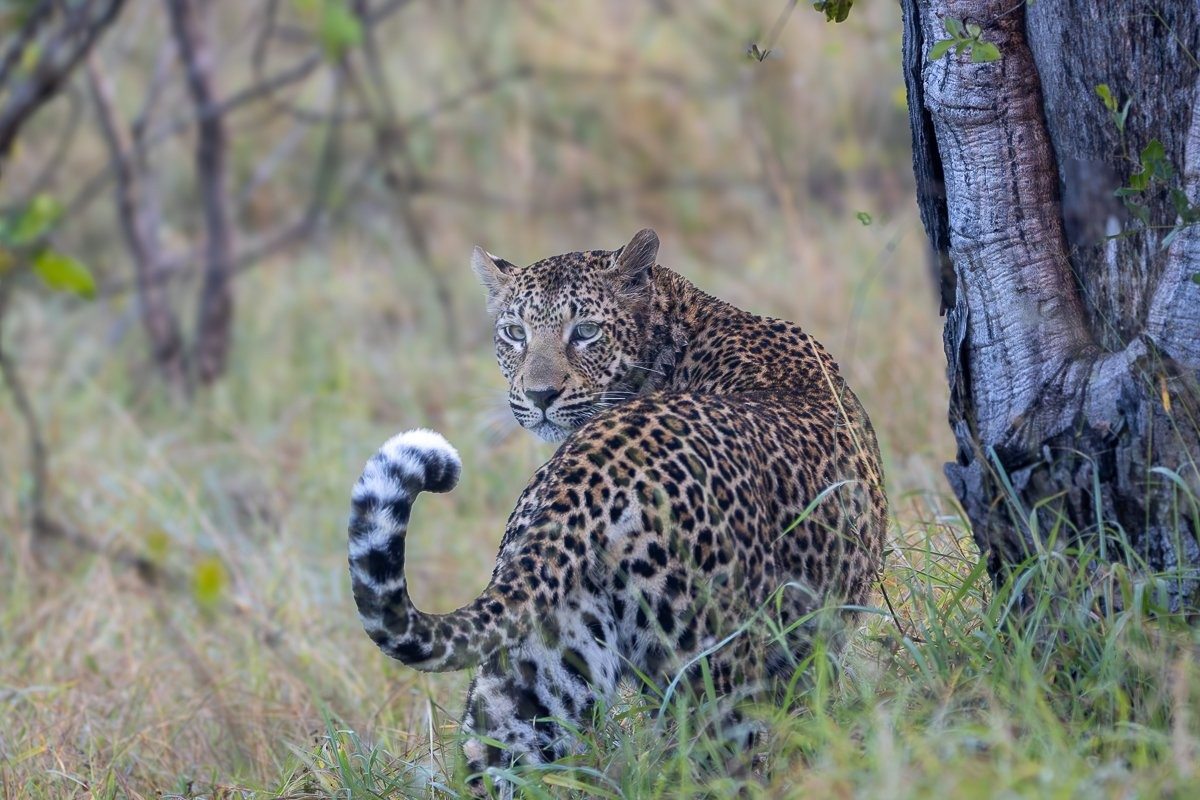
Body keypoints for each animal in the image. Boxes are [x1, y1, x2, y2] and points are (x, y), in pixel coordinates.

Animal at [347, 229, 887, 789]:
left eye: (586, 331)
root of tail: (590, 473)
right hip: (714, 671)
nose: (540, 395)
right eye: (515, 333)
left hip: (538, 669)